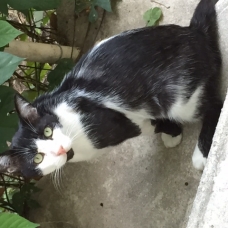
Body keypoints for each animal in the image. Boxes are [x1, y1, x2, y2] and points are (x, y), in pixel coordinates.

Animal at [0, 0, 223, 178]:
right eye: (37, 158)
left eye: (47, 131)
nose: (61, 149)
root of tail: (193, 32)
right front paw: (172, 132)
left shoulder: (124, 121)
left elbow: (155, 123)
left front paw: (172, 133)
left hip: (179, 98)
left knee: (215, 106)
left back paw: (202, 154)